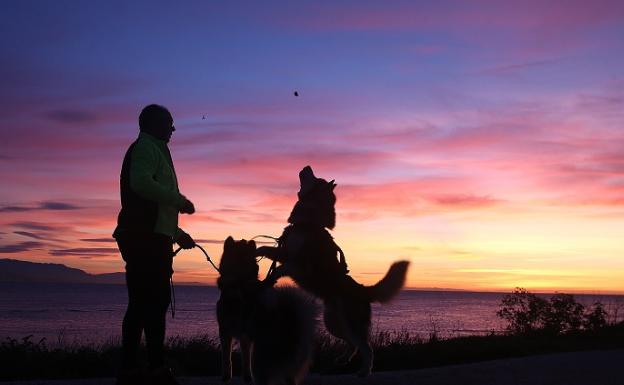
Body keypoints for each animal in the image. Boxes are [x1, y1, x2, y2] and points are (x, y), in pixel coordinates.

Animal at [218, 236, 316, 384]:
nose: (244, 238)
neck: (240, 280)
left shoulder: (227, 331)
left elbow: (227, 358)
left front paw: (226, 377)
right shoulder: (242, 336)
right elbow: (243, 360)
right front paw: (246, 378)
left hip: (260, 361)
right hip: (289, 369)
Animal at [256, 166, 412, 376]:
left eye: (317, 178)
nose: (307, 167)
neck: (309, 224)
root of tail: (363, 290)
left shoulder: (300, 264)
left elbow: (282, 268)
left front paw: (271, 277)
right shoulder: (284, 252)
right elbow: (265, 249)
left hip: (350, 323)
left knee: (366, 348)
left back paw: (365, 371)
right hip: (334, 323)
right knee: (353, 344)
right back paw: (343, 359)